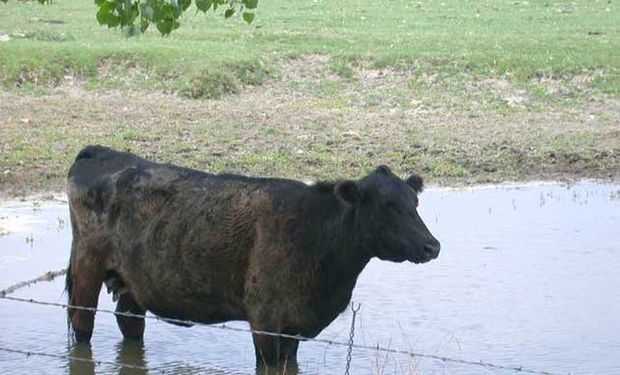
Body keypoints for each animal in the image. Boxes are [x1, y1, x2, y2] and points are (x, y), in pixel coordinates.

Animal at [65, 145, 438, 368]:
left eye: (414, 202)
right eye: (387, 205)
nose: (432, 246)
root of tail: (100, 151)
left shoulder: (293, 329)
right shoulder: (265, 321)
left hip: (134, 280)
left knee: (129, 322)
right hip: (87, 267)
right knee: (82, 325)